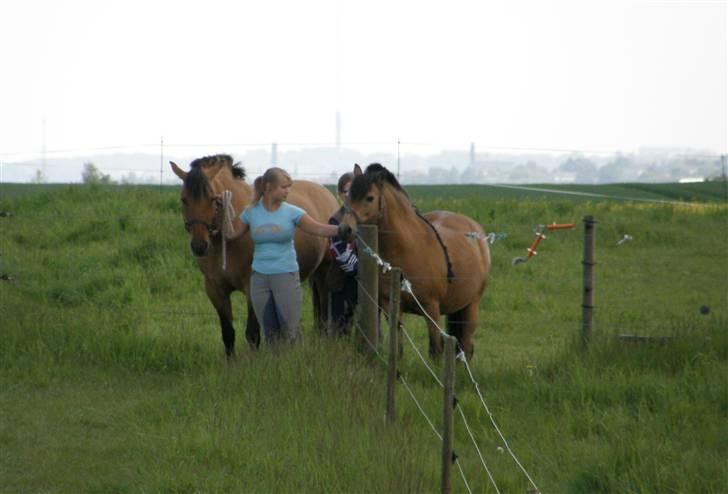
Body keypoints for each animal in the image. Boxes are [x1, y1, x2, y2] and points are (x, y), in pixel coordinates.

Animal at [171, 154, 338, 356]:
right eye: (184, 200)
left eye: (212, 199)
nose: (199, 246)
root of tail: (326, 193)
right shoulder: (215, 289)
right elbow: (228, 333)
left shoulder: (251, 287)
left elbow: (252, 333)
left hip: (324, 272)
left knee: (324, 307)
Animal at [344, 164, 492, 356]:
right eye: (349, 195)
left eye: (370, 198)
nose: (344, 228)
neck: (407, 250)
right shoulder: (391, 307)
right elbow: (398, 348)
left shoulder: (431, 308)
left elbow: (436, 350)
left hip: (471, 305)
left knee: (466, 346)